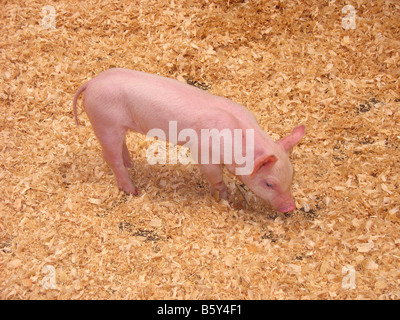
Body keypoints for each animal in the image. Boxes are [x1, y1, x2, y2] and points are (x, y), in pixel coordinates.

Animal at [73, 68, 304, 212]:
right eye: (269, 183)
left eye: (291, 177)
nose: (290, 207)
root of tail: (91, 83)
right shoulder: (203, 152)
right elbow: (215, 178)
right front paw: (224, 198)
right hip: (105, 123)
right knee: (109, 156)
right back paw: (132, 190)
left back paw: (131, 165)